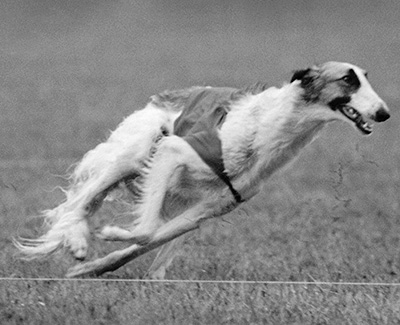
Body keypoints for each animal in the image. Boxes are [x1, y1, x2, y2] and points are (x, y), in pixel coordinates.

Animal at [14, 62, 390, 278]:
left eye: (365, 79)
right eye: (348, 79)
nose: (384, 113)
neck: (268, 130)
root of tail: (164, 95)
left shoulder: (211, 207)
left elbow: (149, 237)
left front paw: (95, 265)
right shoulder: (174, 151)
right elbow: (145, 229)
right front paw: (105, 237)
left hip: (180, 198)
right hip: (131, 155)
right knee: (78, 204)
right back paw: (77, 238)